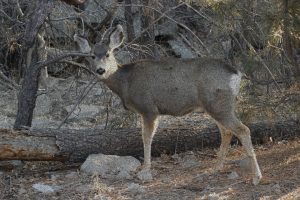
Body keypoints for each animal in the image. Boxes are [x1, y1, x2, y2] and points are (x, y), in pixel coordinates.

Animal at [75, 24, 262, 184]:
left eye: (108, 53)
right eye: (92, 56)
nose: (100, 70)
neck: (125, 82)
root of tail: (237, 74)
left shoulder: (149, 108)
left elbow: (146, 138)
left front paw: (145, 171)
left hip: (219, 104)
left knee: (243, 129)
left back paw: (256, 177)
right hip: (214, 106)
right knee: (227, 132)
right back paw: (216, 167)